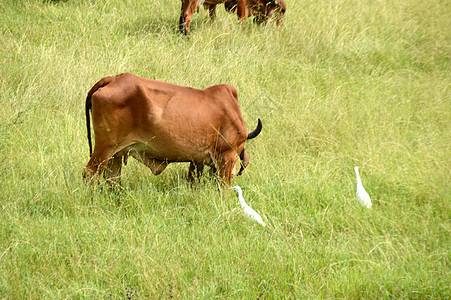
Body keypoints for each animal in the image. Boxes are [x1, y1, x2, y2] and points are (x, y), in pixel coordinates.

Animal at [83, 72, 264, 185]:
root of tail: (113, 79)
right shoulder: (227, 155)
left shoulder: (197, 160)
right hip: (105, 148)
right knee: (90, 174)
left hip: (116, 154)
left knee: (112, 178)